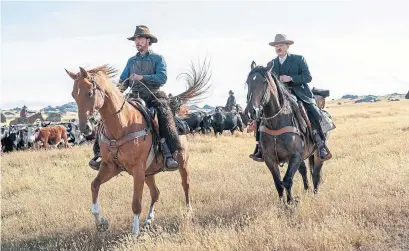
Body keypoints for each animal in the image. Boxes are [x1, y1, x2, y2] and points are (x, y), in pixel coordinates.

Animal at [64, 62, 210, 235]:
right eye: (74, 95)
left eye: (89, 93)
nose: (84, 127)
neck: (122, 124)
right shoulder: (111, 166)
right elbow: (94, 185)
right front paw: (102, 222)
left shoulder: (137, 169)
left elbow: (136, 202)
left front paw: (134, 232)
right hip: (149, 173)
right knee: (155, 192)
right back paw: (148, 220)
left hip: (182, 163)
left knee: (185, 185)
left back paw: (188, 212)